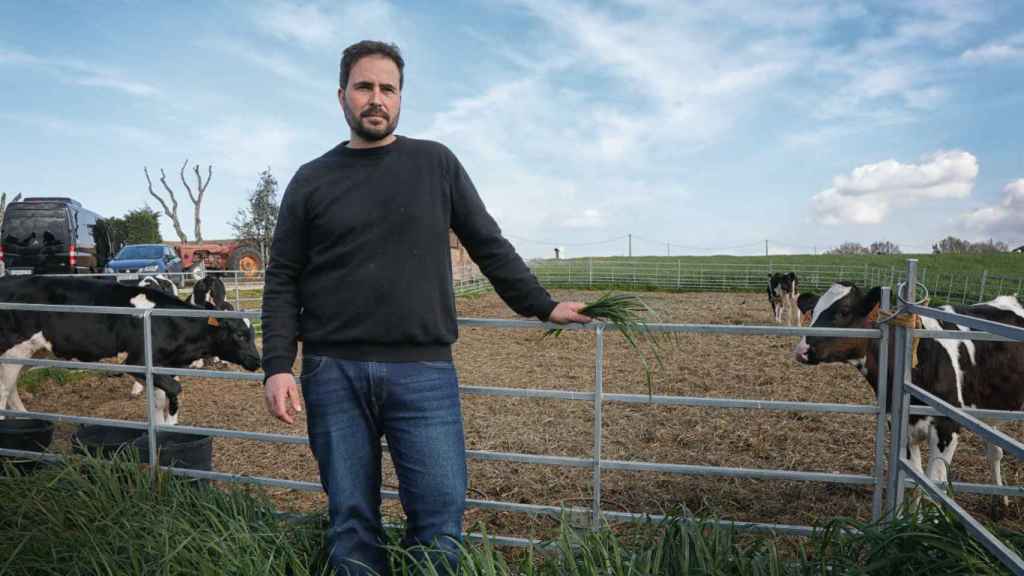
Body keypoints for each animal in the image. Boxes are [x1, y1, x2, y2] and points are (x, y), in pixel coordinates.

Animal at [0, 276, 260, 424]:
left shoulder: (162, 366)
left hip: (29, 353)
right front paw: (171, 415)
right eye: (239, 335)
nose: (257, 361)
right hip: (14, 351)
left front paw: (165, 426)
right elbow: (174, 390)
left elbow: (160, 399)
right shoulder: (137, 362)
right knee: (4, 391)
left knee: (11, 389)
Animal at [790, 282, 1024, 502]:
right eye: (814, 311)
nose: (801, 350)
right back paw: (1000, 500)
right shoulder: (902, 427)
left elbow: (934, 486)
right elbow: (915, 483)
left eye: (844, 311)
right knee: (995, 451)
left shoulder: (947, 428)